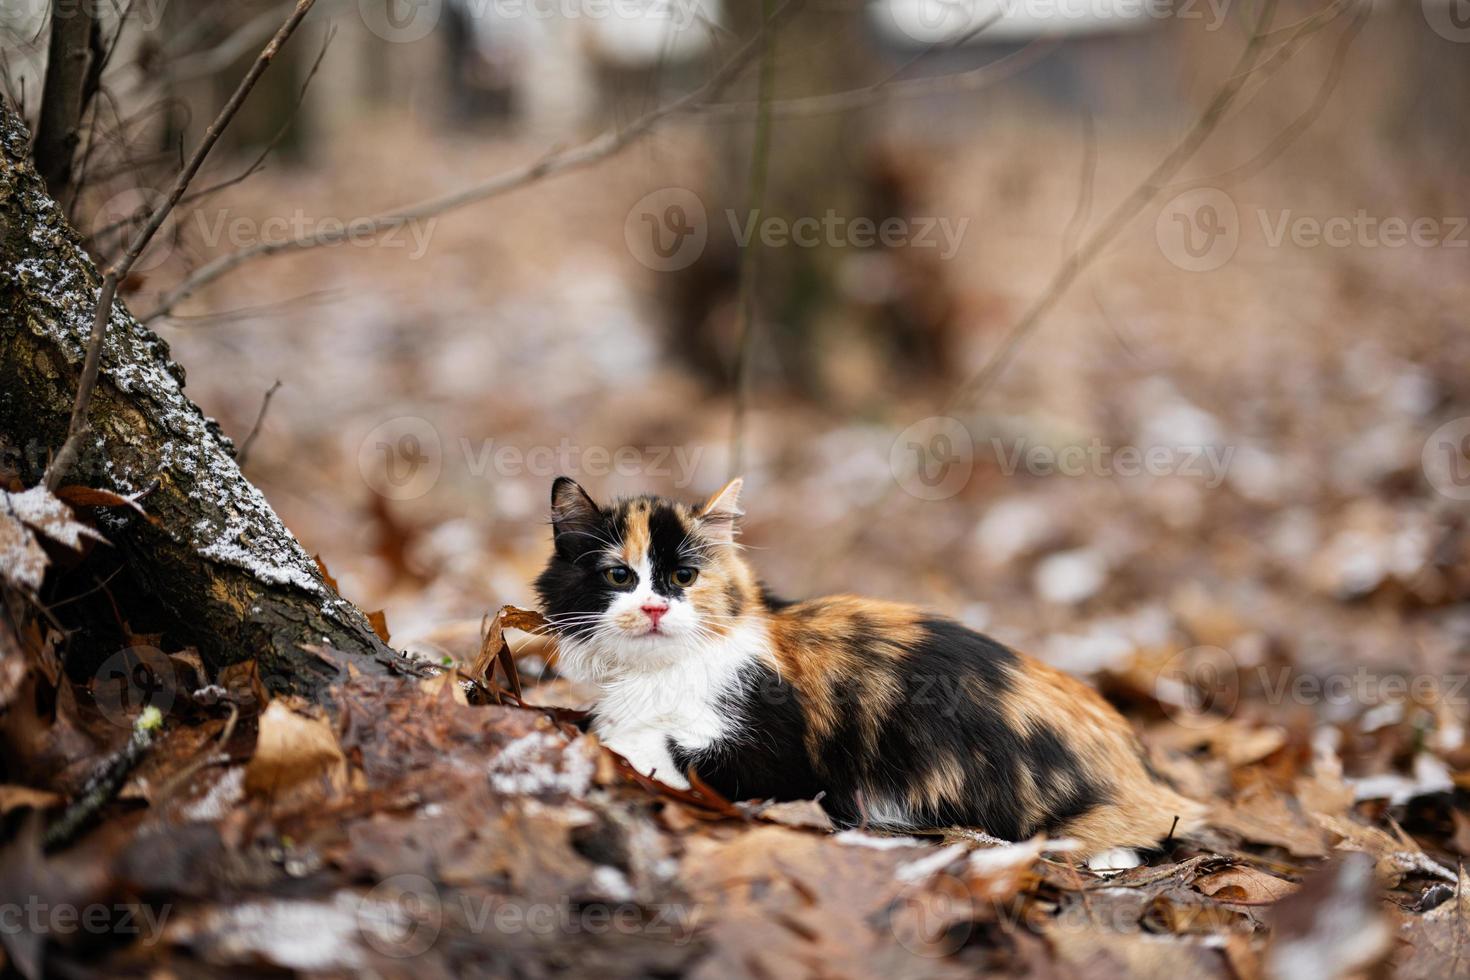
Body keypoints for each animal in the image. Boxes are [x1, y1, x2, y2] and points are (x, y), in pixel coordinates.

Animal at [535, 476, 1199, 852]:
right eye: (619, 576)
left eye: (684, 577)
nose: (652, 607)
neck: (653, 677)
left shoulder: (785, 764)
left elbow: (653, 745)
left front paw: (617, 739)